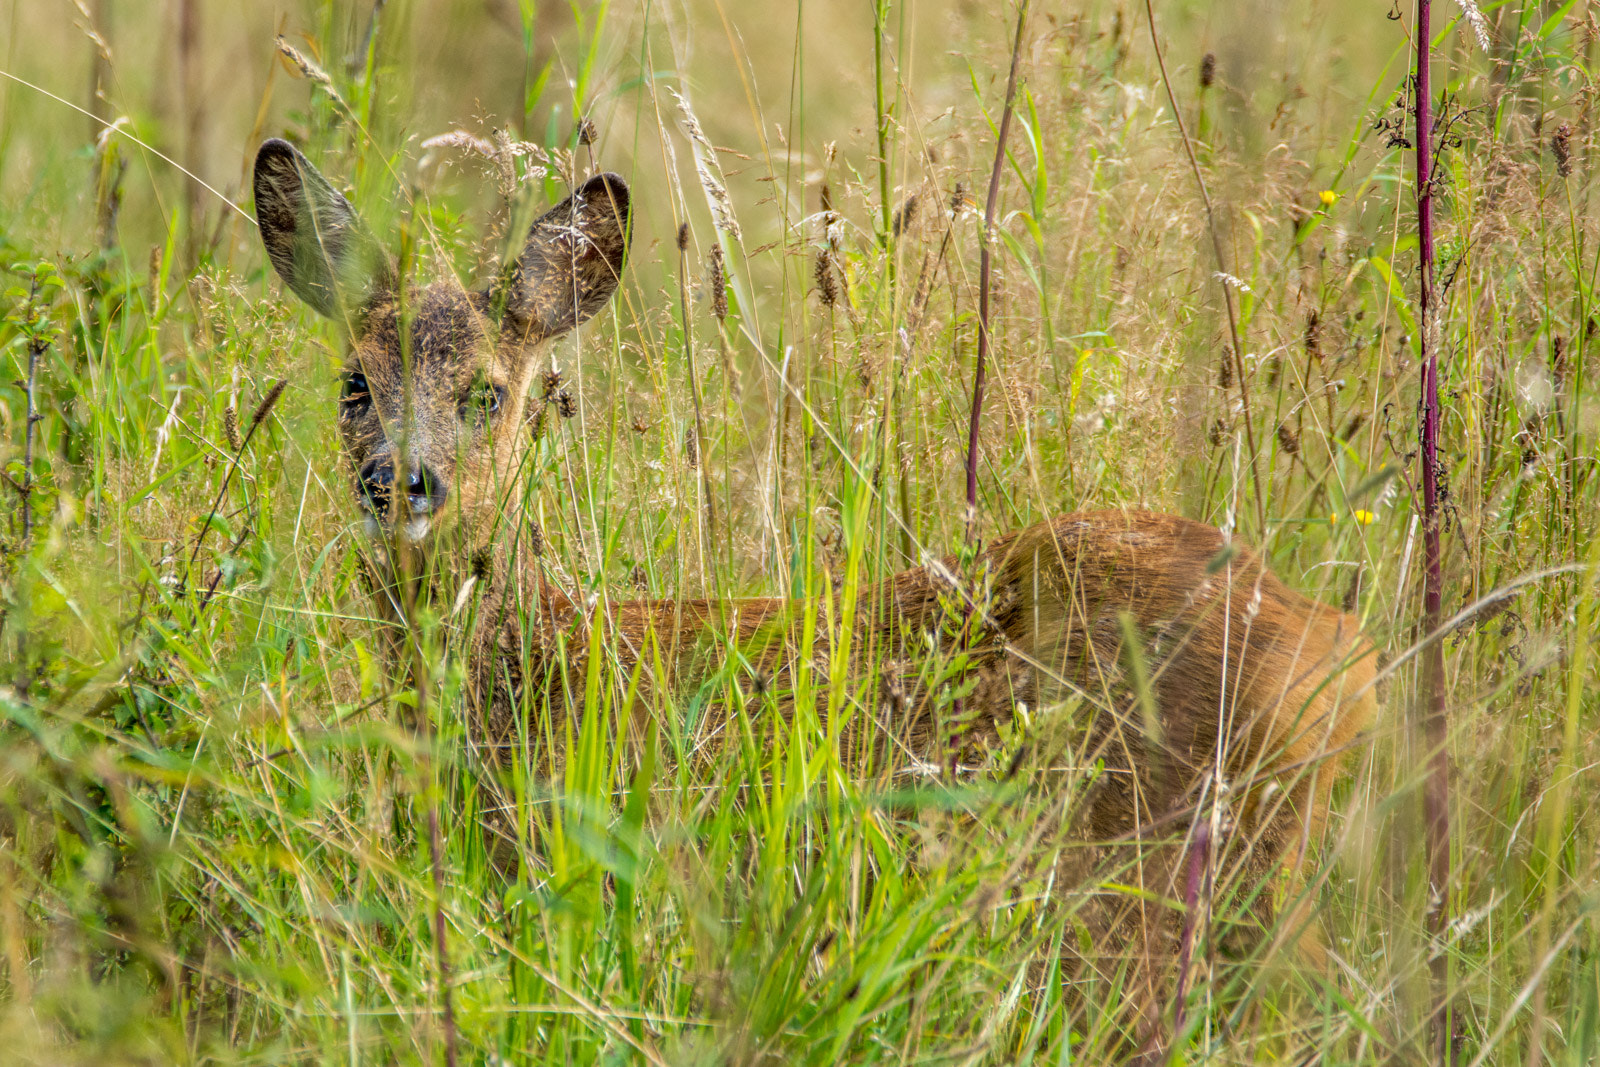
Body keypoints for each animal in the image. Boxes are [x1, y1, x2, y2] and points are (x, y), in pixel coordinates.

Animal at [256, 137, 1382, 979]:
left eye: (487, 392)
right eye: (353, 381)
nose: (398, 481)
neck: (540, 664)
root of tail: (1343, 652)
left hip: (1150, 872)